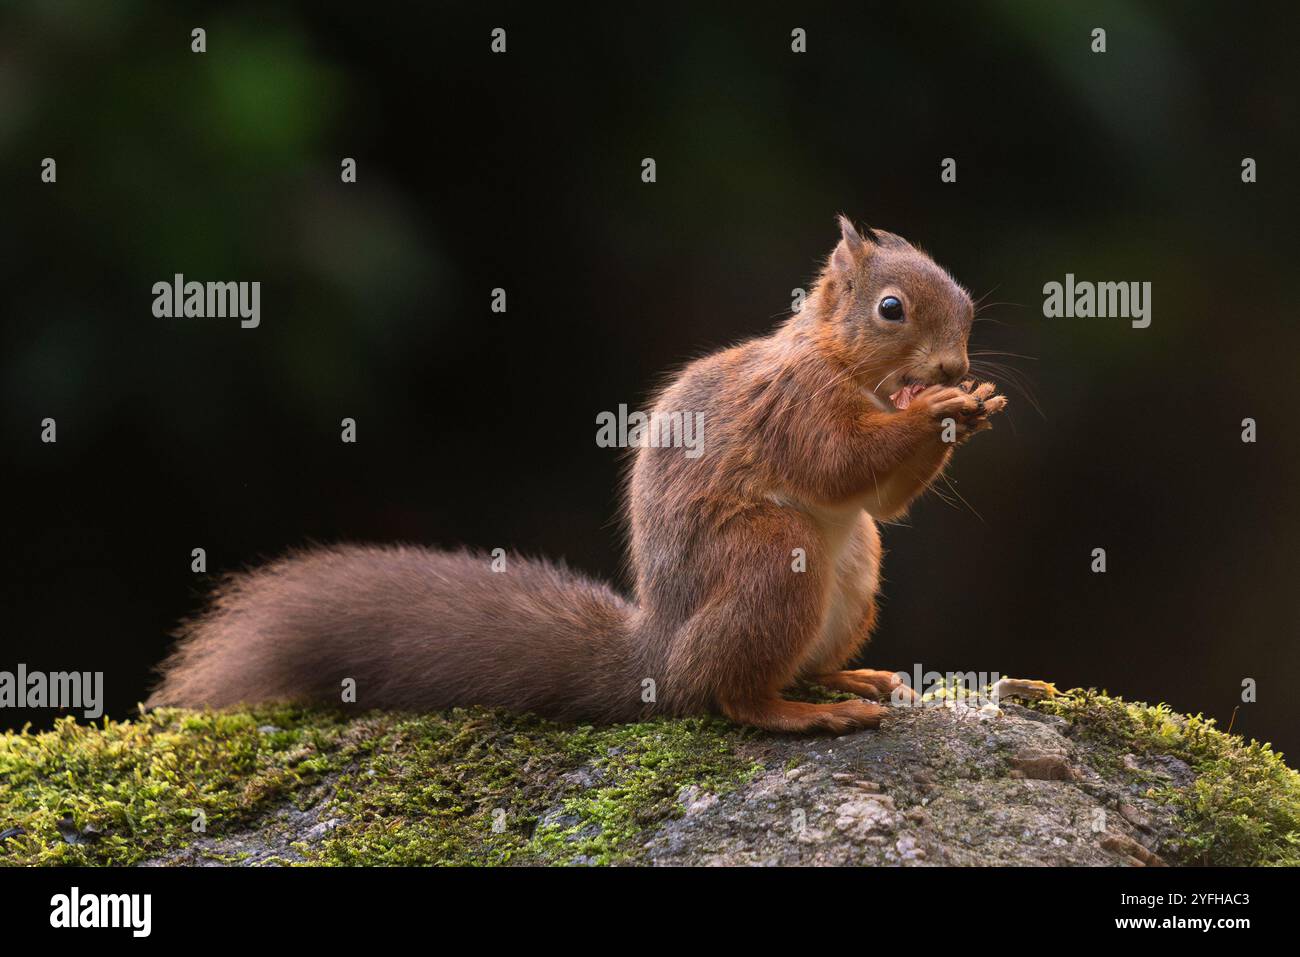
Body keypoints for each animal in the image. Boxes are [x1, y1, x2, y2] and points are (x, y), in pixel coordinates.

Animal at [149, 221, 1003, 738]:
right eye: (891, 309)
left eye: (965, 306)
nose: (953, 367)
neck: (838, 360)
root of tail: (660, 658)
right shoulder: (792, 404)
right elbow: (835, 461)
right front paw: (940, 411)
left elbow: (881, 499)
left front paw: (975, 404)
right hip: (771, 556)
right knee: (731, 694)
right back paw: (800, 712)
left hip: (855, 567)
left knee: (800, 657)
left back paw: (851, 675)